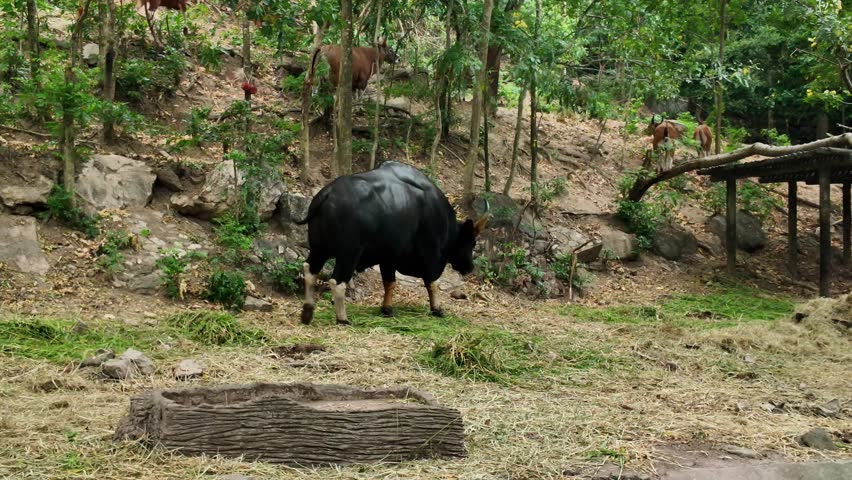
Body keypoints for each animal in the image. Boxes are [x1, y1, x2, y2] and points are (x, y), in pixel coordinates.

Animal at [296, 161, 488, 325]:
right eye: (471, 242)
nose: (469, 267)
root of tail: (328, 194)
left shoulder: (388, 258)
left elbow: (390, 282)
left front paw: (387, 308)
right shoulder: (431, 254)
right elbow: (432, 283)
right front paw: (437, 309)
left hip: (319, 248)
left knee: (310, 270)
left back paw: (307, 312)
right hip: (348, 254)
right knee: (337, 282)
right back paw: (342, 319)